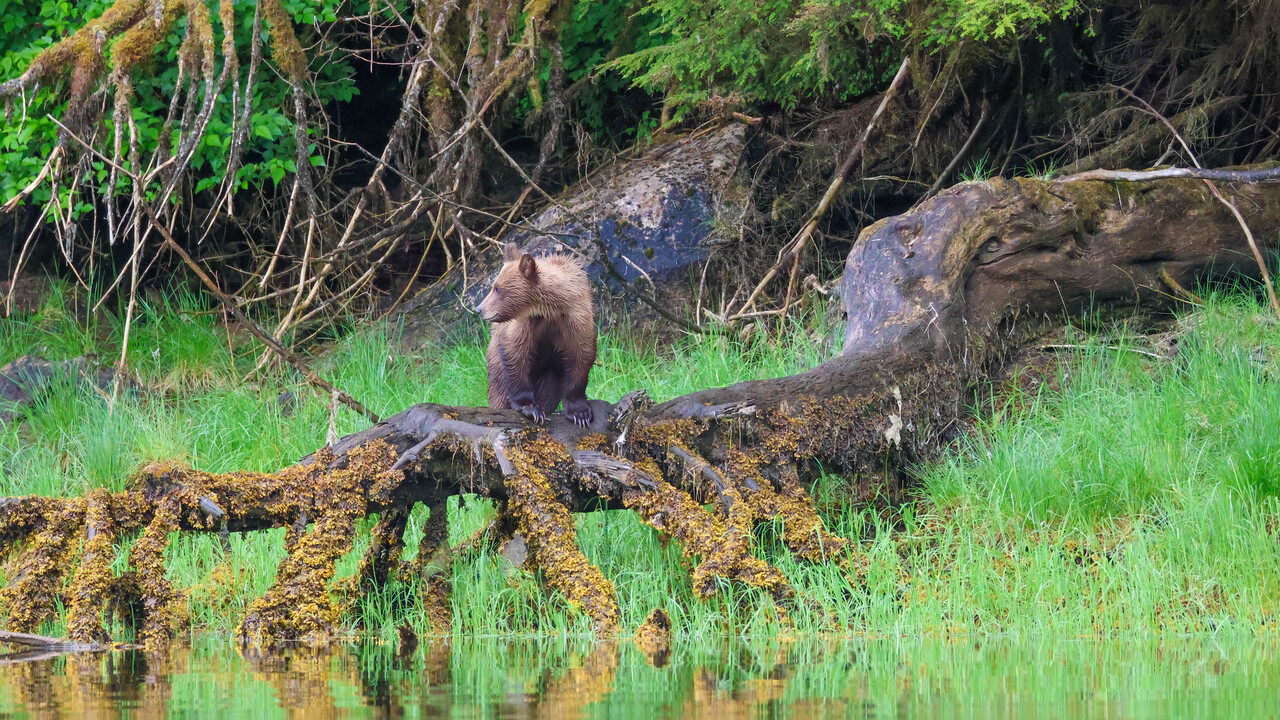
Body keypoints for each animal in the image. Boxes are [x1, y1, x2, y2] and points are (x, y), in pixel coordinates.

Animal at [474, 242, 597, 426]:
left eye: (498, 289)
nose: (479, 309)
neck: (551, 309)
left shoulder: (576, 319)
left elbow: (580, 357)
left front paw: (580, 413)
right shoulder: (527, 324)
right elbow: (516, 354)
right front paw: (530, 409)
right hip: (495, 363)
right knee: (499, 390)